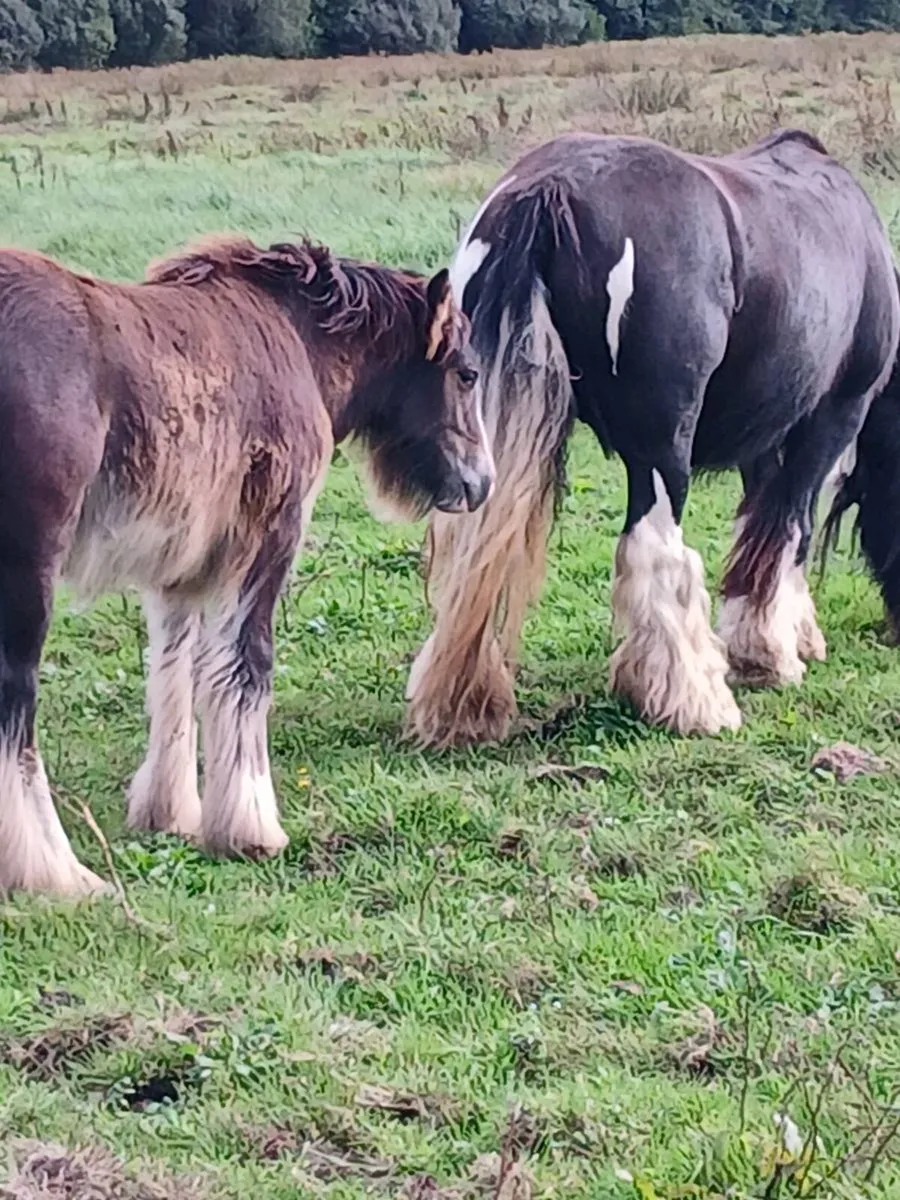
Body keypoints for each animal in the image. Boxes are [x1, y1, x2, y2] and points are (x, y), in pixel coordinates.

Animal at [0, 234, 495, 896]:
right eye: (467, 373)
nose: (480, 483)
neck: (298, 339)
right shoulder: (271, 539)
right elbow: (247, 667)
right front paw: (249, 826)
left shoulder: (180, 570)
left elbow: (174, 672)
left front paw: (170, 811)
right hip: (29, 571)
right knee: (16, 699)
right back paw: (54, 871)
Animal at [404, 128, 900, 749]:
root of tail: (549, 188)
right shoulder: (831, 418)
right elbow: (790, 529)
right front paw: (769, 655)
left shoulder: (762, 437)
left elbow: (755, 531)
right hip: (662, 450)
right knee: (655, 550)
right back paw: (693, 701)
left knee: (469, 552)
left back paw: (459, 705)